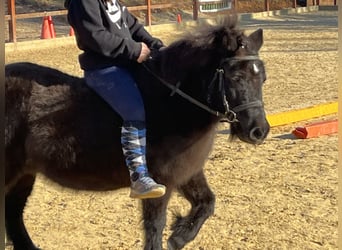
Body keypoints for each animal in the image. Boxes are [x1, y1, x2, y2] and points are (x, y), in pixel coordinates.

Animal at [4, 16, 268, 249]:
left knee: (13, 213)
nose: (259, 130)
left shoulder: (187, 172)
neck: (171, 104)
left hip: (24, 174)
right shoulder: (161, 181)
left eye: (262, 77)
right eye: (236, 76)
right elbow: (155, 226)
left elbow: (207, 203)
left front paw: (179, 236)